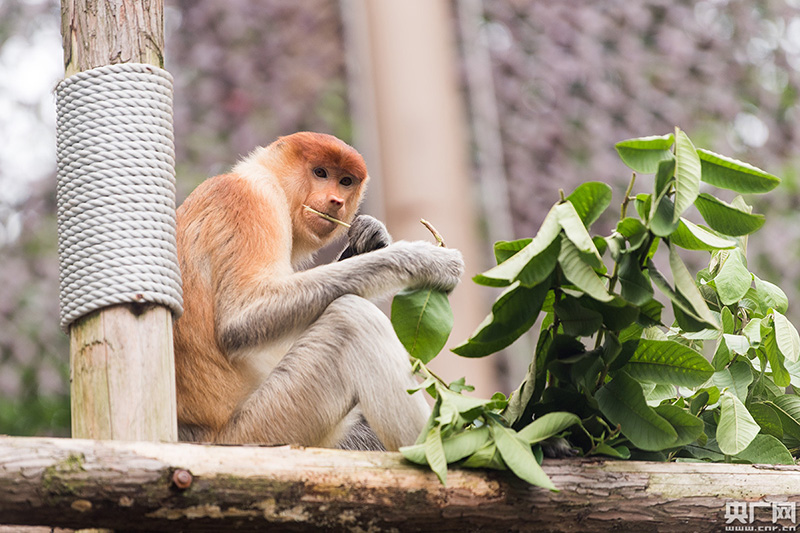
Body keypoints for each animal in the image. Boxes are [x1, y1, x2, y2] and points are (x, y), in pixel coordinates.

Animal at [172, 130, 466, 448]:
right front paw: (425, 259)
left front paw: (371, 236)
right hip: (263, 426)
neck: (266, 176)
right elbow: (241, 316)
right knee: (351, 320)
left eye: (346, 181)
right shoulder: (251, 201)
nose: (336, 201)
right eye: (321, 173)